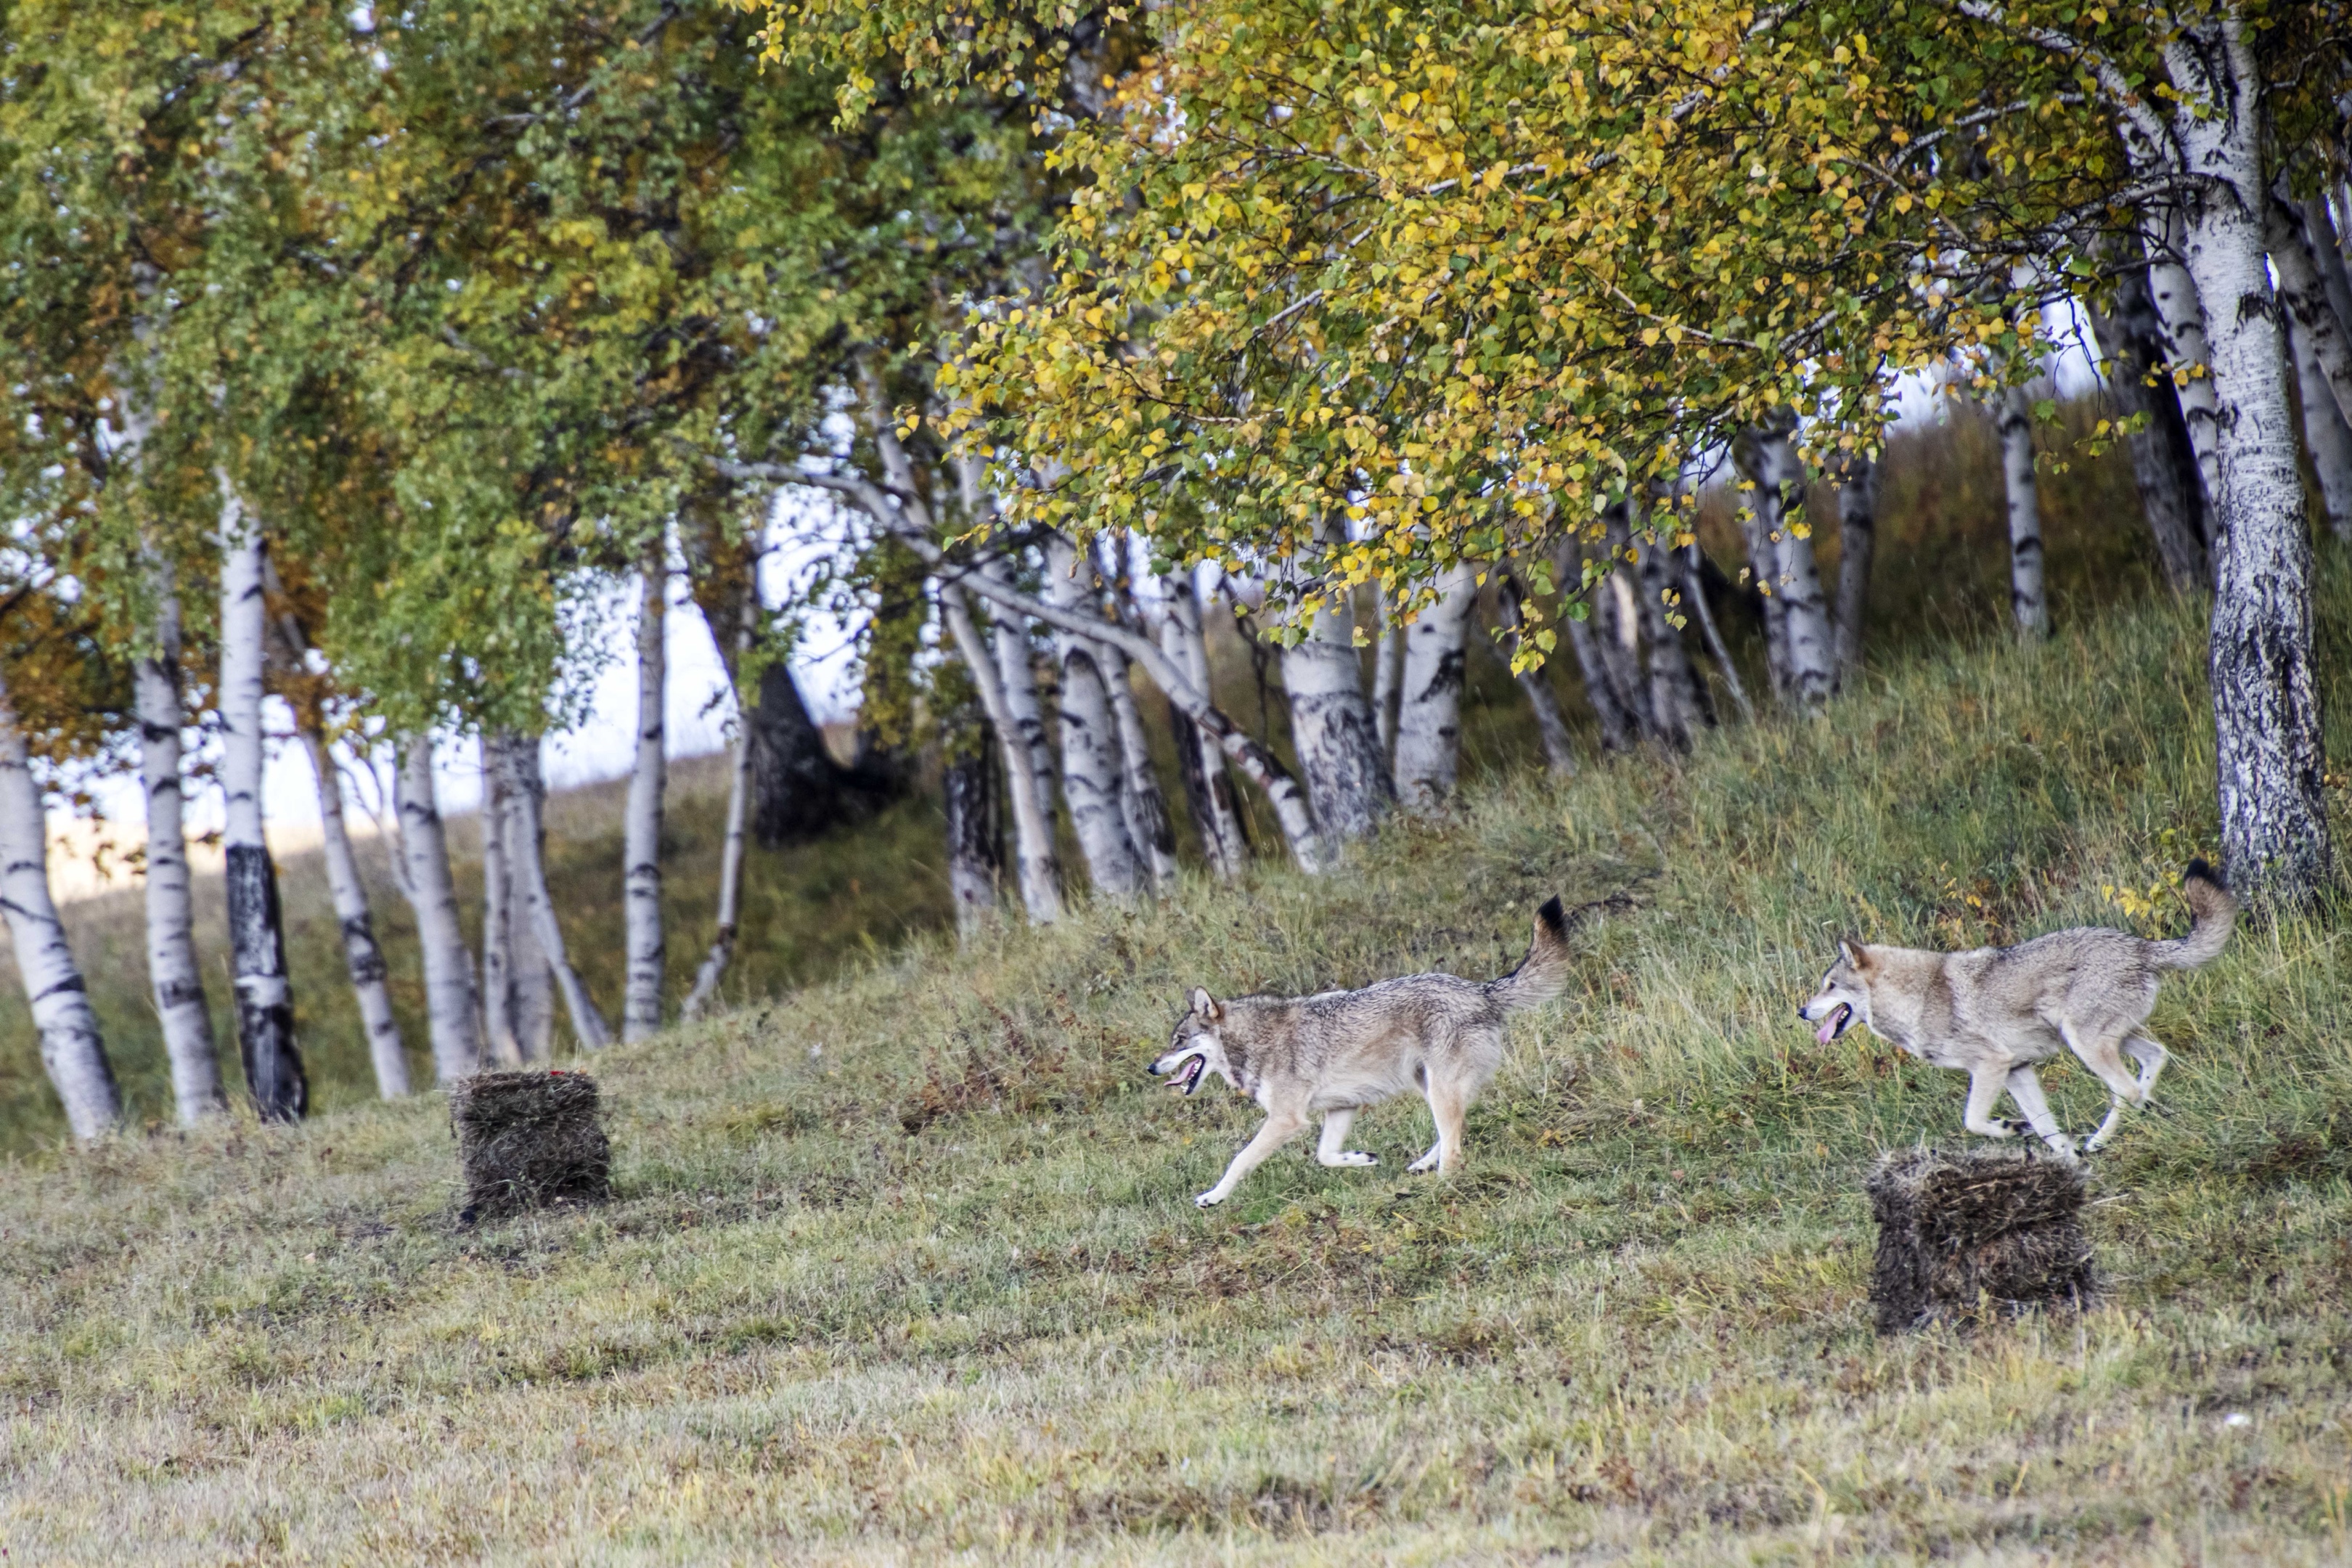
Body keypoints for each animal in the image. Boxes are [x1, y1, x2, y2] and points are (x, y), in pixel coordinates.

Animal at [1143, 893, 1580, 1213]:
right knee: (1454, 1129)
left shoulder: (1286, 1121)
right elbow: (1324, 1156)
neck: (1254, 1040)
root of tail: (1481, 989)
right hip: (1431, 1087)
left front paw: (1212, 1197)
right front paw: (1361, 1159)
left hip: (1438, 1089)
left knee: (1455, 1147)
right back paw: (1423, 1164)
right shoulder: (1342, 1108)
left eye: (1180, 1040)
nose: (1151, 1068)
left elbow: (1239, 1160)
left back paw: (1438, 1187)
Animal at [1797, 865, 2239, 1161]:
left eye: (1830, 986)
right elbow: (2045, 1128)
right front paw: (2068, 1159)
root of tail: (2142, 947)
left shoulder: (1993, 1064)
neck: (1919, 997)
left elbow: (1973, 1121)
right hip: (2102, 1041)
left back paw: (2109, 1136)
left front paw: (2010, 1127)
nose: (1802, 1011)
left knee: (2127, 1090)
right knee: (2153, 1062)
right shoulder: (2017, 1070)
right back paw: (2121, 1127)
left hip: (2085, 1045)